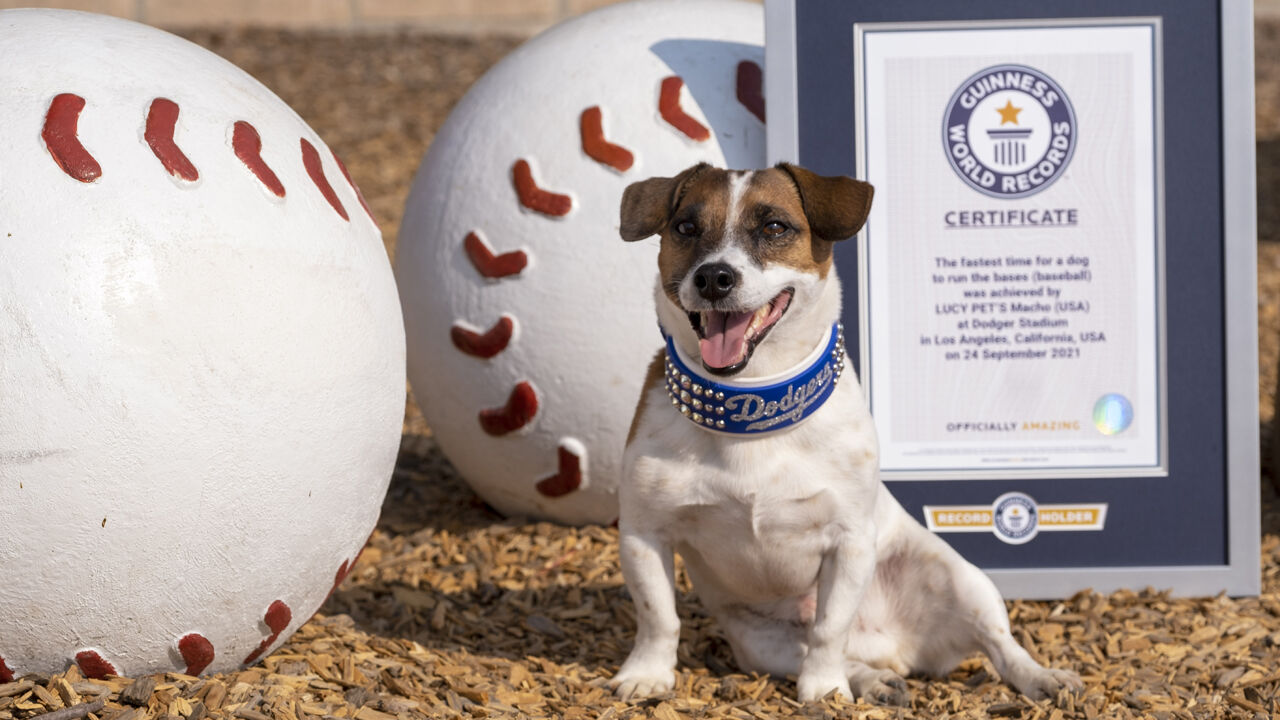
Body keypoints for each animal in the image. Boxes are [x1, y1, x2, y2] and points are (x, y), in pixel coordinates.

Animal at [609, 161, 1080, 702]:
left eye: (775, 227)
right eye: (685, 227)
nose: (713, 276)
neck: (750, 402)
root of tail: (892, 647)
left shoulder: (849, 542)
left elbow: (829, 627)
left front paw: (823, 688)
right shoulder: (644, 534)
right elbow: (658, 617)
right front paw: (647, 673)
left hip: (963, 580)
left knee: (1000, 644)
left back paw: (1042, 677)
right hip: (762, 643)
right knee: (825, 654)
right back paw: (871, 680)